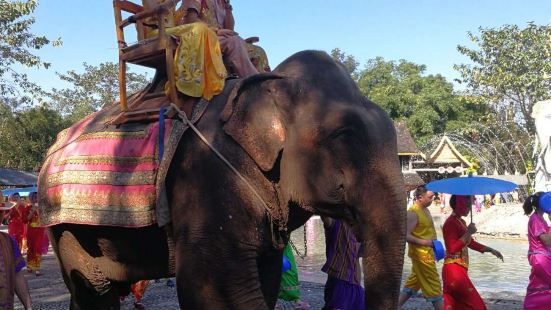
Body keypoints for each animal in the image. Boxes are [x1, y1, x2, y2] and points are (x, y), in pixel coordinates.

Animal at [42, 49, 406, 308]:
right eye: (345, 136)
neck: (270, 82)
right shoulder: (205, 179)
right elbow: (212, 287)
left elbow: (266, 278)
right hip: (62, 226)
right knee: (93, 289)